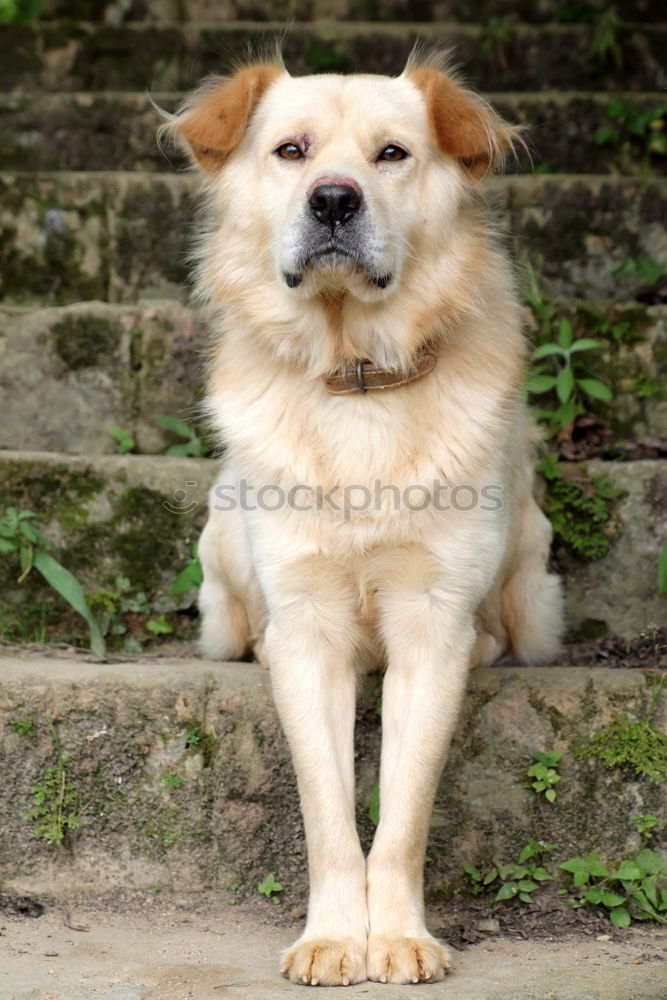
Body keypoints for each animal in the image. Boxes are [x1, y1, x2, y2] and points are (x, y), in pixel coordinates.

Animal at [166, 47, 564, 984]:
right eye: (291, 150)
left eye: (391, 155)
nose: (334, 201)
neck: (355, 378)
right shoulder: (307, 626)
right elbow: (327, 815)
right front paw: (331, 936)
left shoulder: (430, 622)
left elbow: (403, 812)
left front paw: (401, 937)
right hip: (224, 543)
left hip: (531, 571)